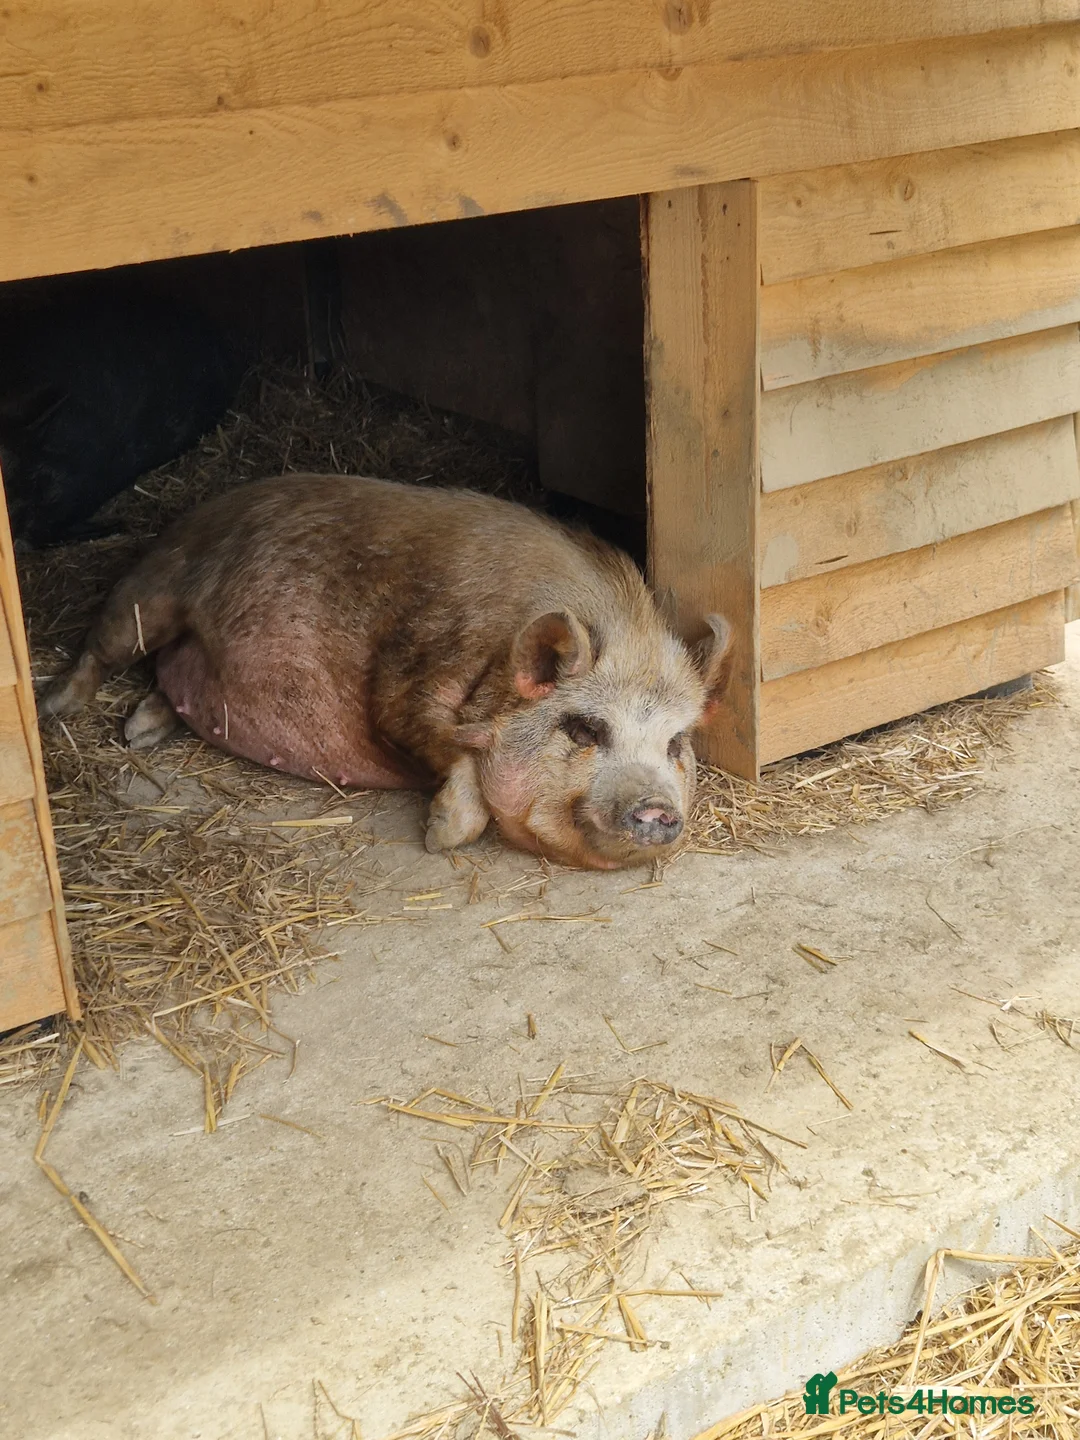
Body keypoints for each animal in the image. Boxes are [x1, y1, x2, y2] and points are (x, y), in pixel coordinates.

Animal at [41, 475, 733, 870]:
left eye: (675, 744)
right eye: (584, 729)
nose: (657, 807)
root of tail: (196, 509)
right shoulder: (408, 681)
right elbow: (445, 750)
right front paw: (438, 836)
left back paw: (143, 731)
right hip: (150, 589)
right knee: (103, 649)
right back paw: (61, 710)